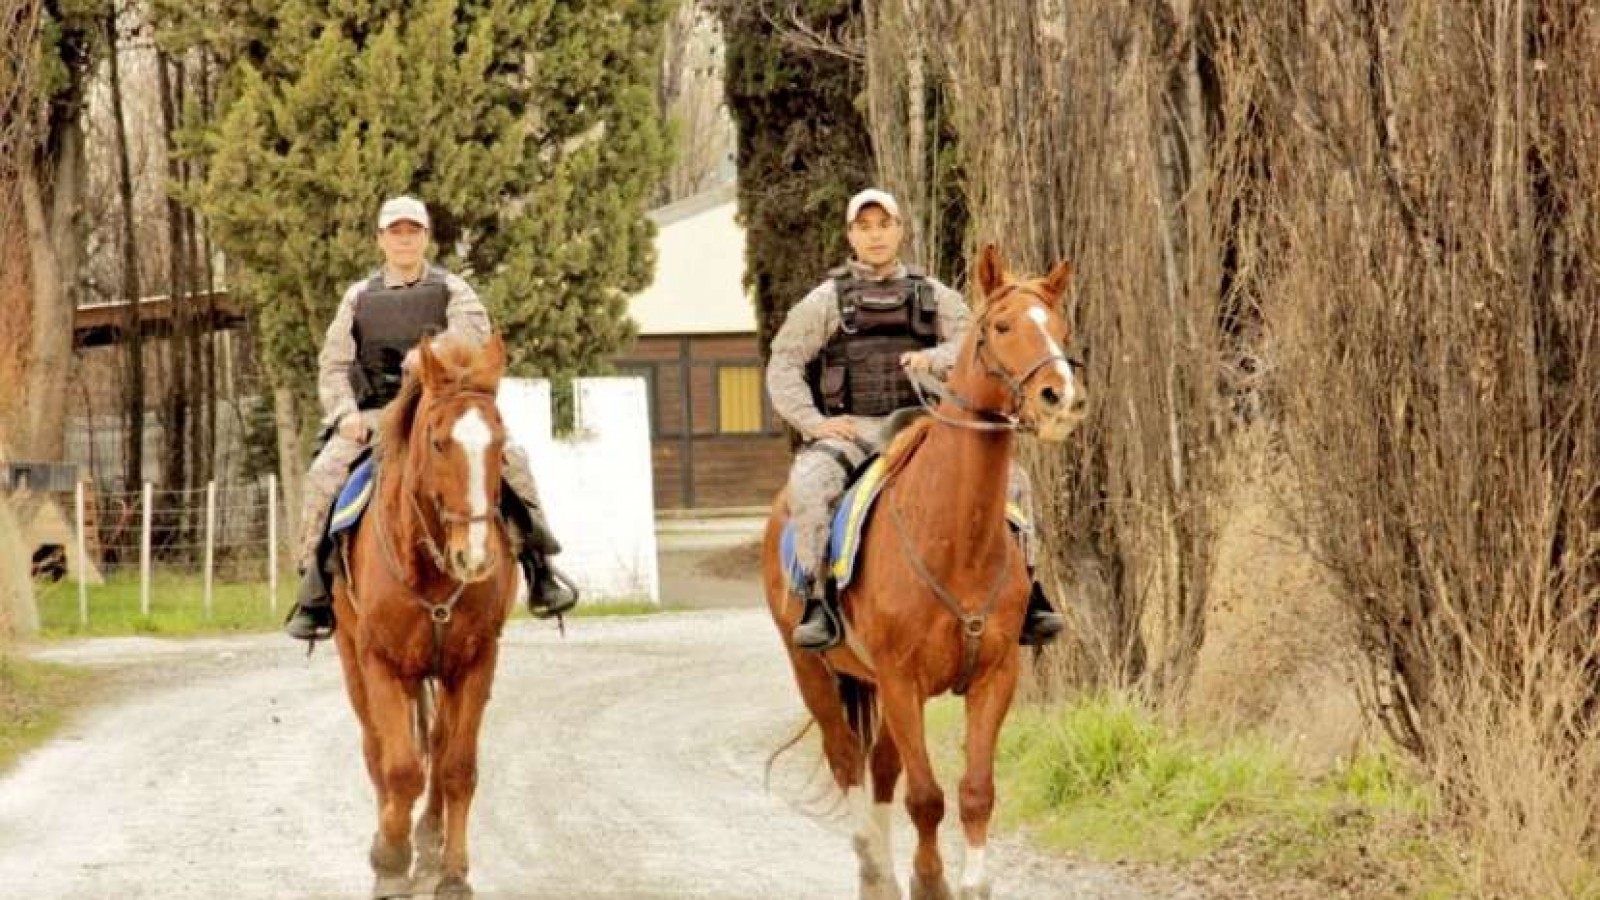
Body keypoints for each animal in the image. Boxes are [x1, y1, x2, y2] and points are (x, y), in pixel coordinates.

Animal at [330, 332, 519, 900]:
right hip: (353, 658)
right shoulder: (382, 662)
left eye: (499, 441)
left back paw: (430, 842)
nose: (474, 557)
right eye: (438, 443)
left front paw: (452, 871)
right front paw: (389, 859)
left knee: (435, 745)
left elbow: (456, 767)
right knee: (377, 750)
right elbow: (398, 769)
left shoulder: (476, 662)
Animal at [761, 244, 1088, 900]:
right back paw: (872, 869)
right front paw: (930, 880)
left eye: (1060, 327)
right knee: (846, 760)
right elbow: (927, 799)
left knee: (881, 767)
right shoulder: (901, 682)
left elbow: (975, 793)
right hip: (815, 673)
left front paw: (969, 884)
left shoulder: (994, 677)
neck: (955, 538)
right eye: (1002, 326)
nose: (1059, 398)